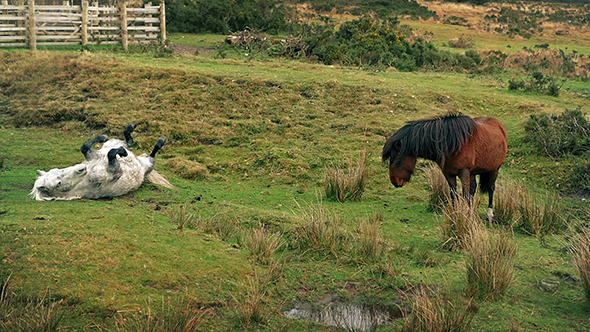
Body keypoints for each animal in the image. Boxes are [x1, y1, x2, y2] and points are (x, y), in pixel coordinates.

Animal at [31, 122, 172, 200]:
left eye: (57, 171)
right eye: (58, 184)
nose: (82, 169)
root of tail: (141, 160)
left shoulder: (92, 155)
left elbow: (85, 147)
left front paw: (102, 137)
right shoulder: (116, 172)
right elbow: (111, 153)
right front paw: (122, 152)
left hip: (114, 142)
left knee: (128, 141)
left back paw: (132, 127)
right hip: (149, 164)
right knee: (150, 152)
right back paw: (160, 140)